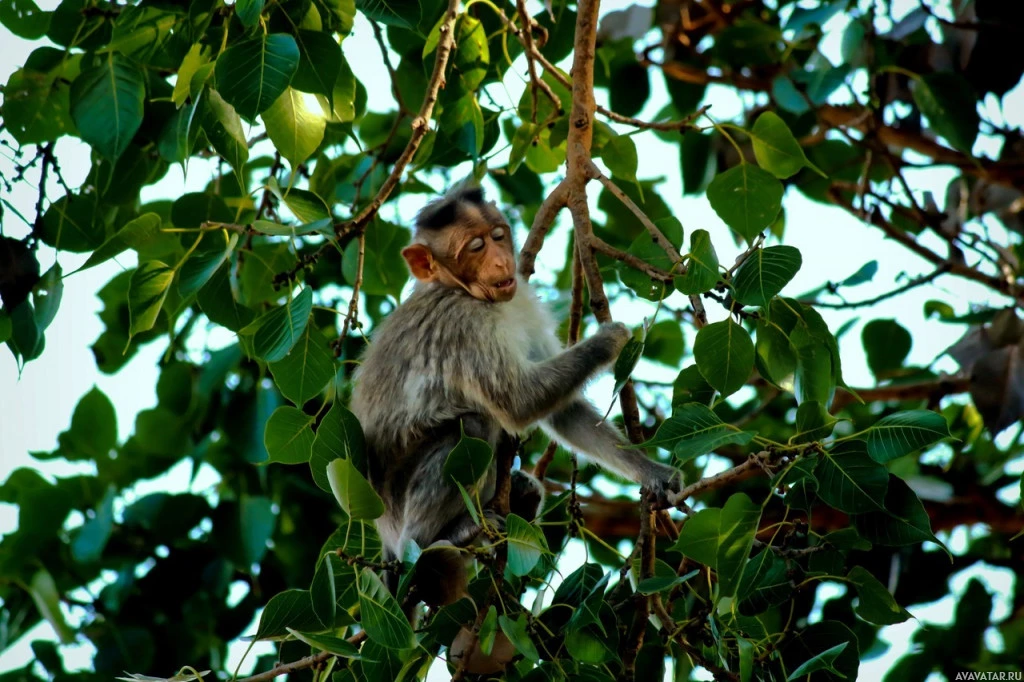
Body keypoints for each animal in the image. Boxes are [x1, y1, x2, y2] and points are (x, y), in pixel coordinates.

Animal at [352, 184, 679, 606]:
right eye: (474, 248)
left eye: (497, 236)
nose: (499, 261)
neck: (461, 291)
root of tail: (388, 544)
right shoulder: (465, 325)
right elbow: (517, 402)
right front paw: (610, 341)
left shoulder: (518, 300)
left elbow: (563, 411)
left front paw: (651, 472)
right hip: (400, 513)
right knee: (474, 425)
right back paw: (439, 540)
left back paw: (518, 498)